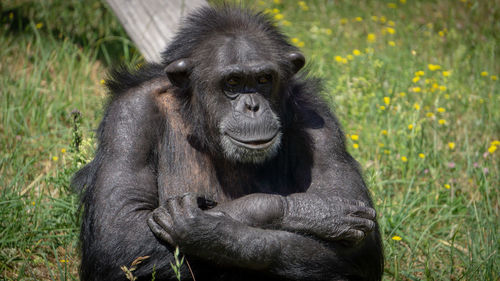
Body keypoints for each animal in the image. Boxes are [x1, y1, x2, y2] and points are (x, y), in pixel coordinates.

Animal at [71, 4, 382, 280]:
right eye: (232, 82)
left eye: (264, 78)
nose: (252, 106)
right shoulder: (130, 115)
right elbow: (120, 233)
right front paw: (316, 211)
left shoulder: (315, 115)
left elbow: (359, 250)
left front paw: (211, 230)